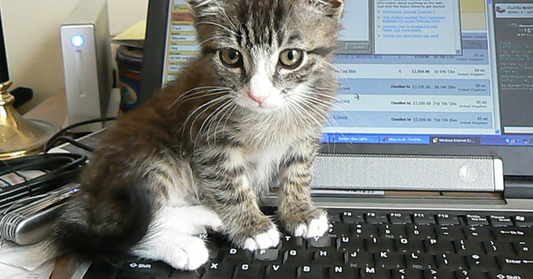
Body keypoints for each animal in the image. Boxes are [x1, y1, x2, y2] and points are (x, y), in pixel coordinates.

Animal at [55, 0, 344, 272]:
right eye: (231, 56)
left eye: (291, 56)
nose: (258, 95)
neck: (269, 117)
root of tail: (88, 193)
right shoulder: (210, 141)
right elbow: (230, 184)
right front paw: (251, 227)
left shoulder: (306, 132)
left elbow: (298, 172)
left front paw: (300, 212)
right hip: (148, 152)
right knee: (127, 226)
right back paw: (181, 244)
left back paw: (206, 216)